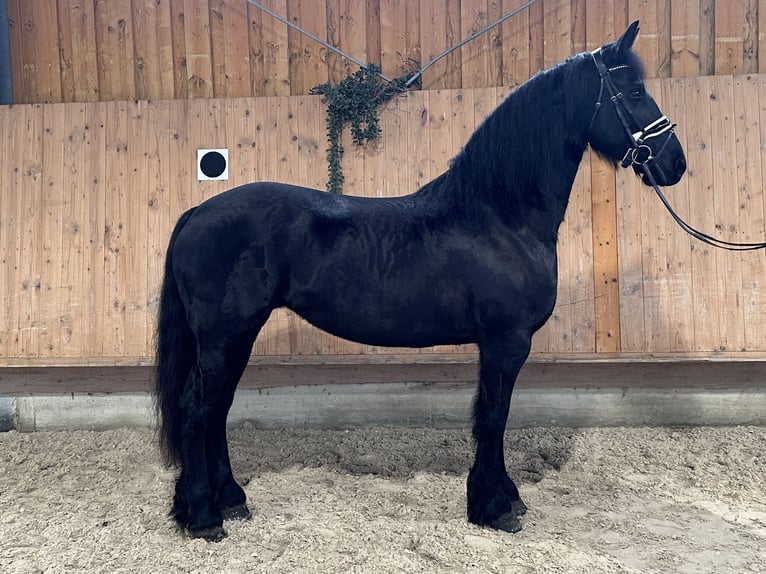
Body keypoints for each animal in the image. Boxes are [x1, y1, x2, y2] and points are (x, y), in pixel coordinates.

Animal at [156, 22, 688, 544]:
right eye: (634, 91)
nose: (675, 163)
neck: (499, 215)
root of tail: (196, 212)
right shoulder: (506, 341)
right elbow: (494, 417)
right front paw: (495, 507)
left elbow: (491, 416)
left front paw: (502, 498)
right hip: (225, 336)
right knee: (197, 410)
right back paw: (204, 516)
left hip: (236, 336)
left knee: (217, 409)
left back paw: (231, 499)